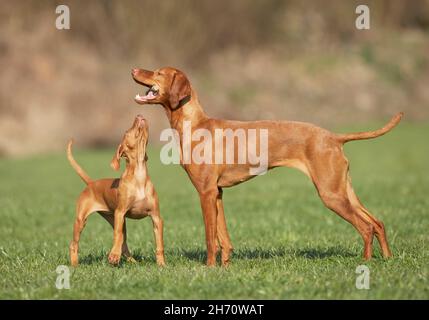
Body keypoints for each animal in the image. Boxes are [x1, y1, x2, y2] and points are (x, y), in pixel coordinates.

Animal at [67, 115, 164, 268]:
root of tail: (91, 183)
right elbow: (117, 236)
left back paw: (133, 262)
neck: (139, 176)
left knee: (124, 244)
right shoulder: (120, 212)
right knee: (74, 244)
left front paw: (161, 264)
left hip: (116, 220)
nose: (139, 115)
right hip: (82, 221)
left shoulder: (156, 217)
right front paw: (113, 256)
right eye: (126, 132)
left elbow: (159, 244)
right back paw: (75, 264)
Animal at [130, 66, 402, 266]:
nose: (134, 69)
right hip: (342, 189)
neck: (195, 125)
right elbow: (223, 237)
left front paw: (208, 268)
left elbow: (210, 237)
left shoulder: (205, 192)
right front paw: (225, 267)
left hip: (330, 194)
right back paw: (388, 259)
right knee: (378, 223)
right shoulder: (217, 193)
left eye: (158, 72)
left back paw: (365, 262)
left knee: (366, 227)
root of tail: (334, 137)